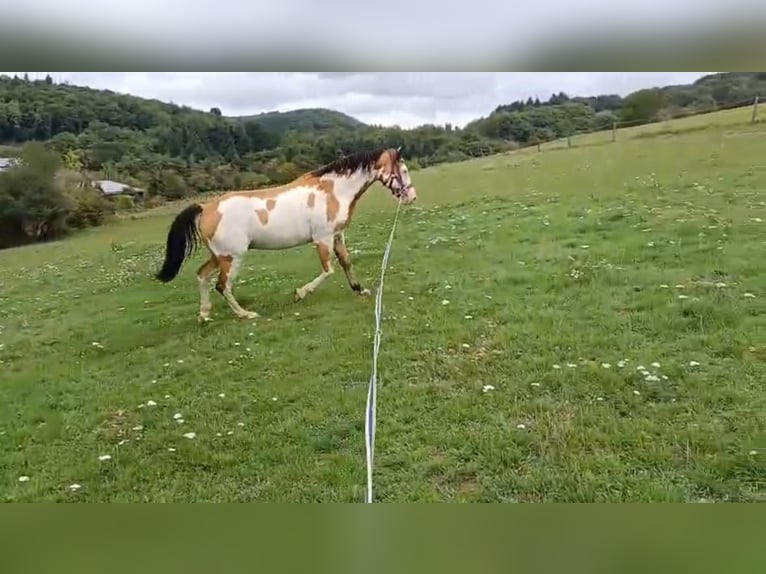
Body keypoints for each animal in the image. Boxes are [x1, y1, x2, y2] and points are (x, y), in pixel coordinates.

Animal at [154, 147, 417, 321]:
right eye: (403, 170)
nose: (412, 197)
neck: (332, 191)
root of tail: (205, 208)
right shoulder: (322, 239)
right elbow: (328, 270)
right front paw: (300, 293)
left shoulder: (337, 235)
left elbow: (345, 263)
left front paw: (359, 289)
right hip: (232, 257)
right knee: (222, 285)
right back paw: (245, 314)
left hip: (219, 256)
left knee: (202, 276)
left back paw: (204, 314)